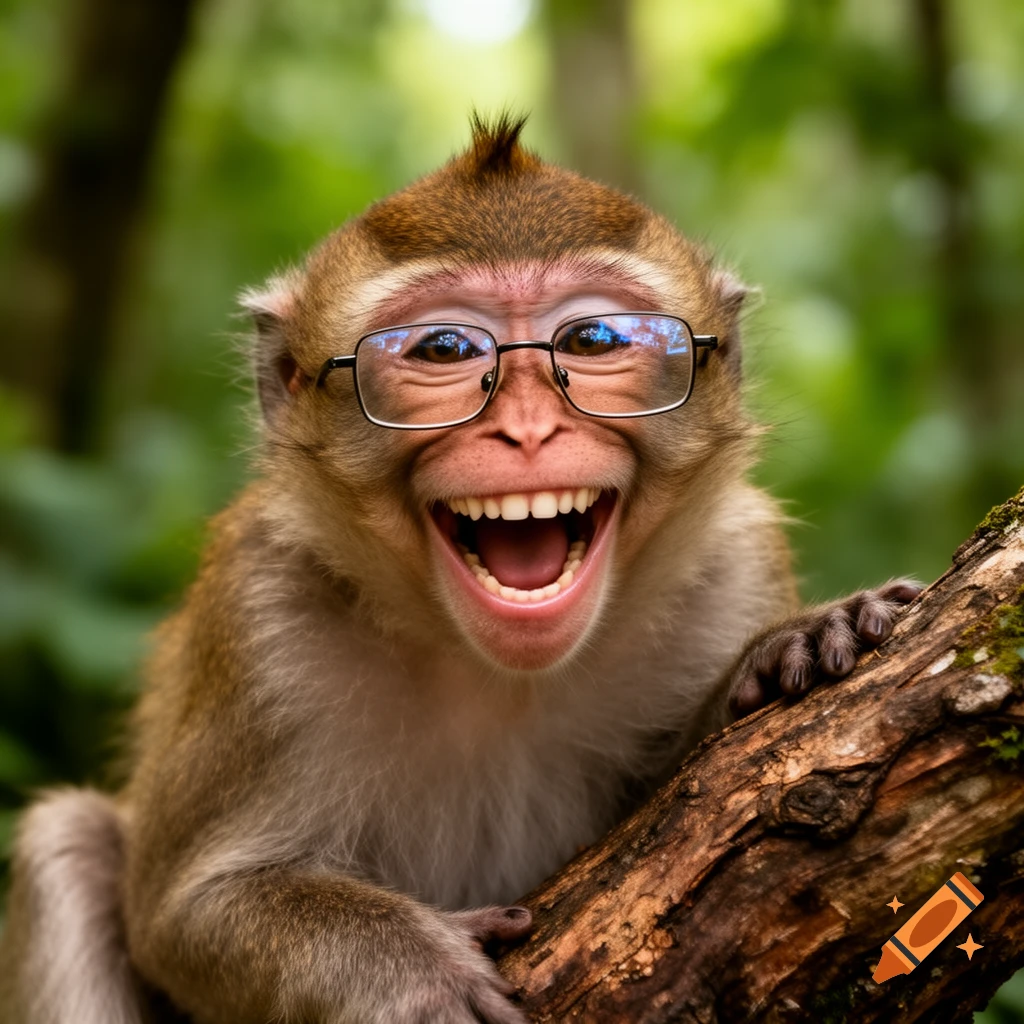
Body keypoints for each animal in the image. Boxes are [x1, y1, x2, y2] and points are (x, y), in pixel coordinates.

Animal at [0, 115, 919, 1024]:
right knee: (66, 847)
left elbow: (685, 840)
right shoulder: (259, 616)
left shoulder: (737, 560)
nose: (527, 430)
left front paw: (778, 654)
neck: (495, 672)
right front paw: (407, 973)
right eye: (443, 349)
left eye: (594, 341)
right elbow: (183, 911)